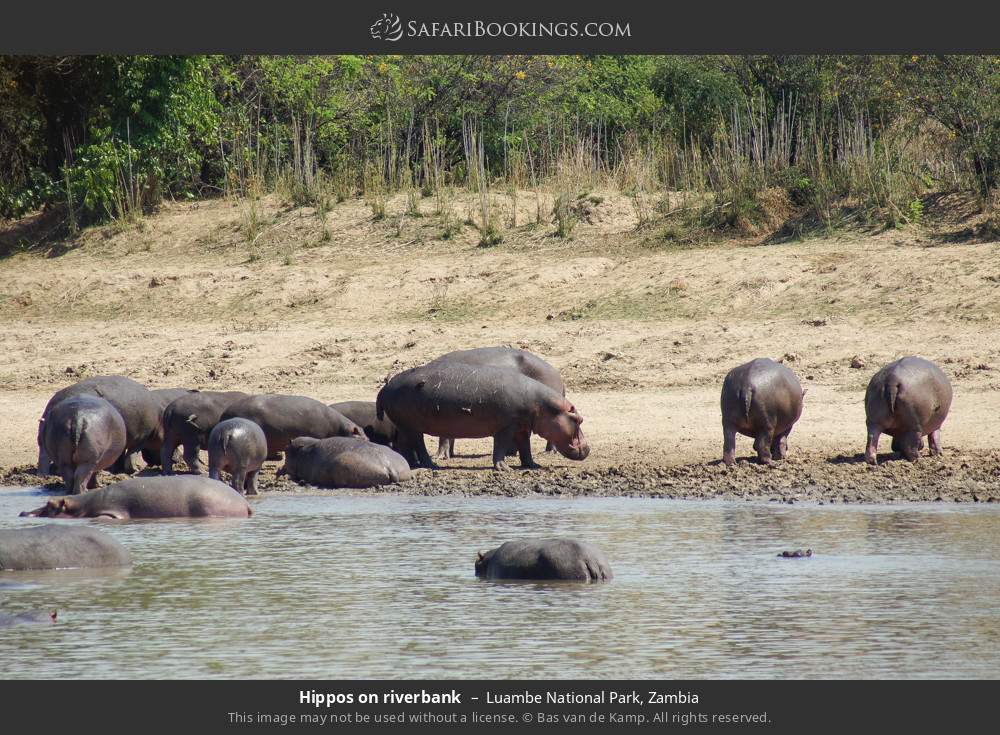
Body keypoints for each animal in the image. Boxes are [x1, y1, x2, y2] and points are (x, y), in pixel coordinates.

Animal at [376, 362, 589, 470]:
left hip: (404, 424)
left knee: (405, 444)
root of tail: (385, 387)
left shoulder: (521, 427)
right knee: (418, 444)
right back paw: (431, 465)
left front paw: (532, 465)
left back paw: (412, 464)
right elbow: (500, 446)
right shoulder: (506, 427)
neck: (542, 406)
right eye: (578, 420)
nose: (587, 449)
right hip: (412, 425)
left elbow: (525, 447)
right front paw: (503, 469)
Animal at [427, 347, 566, 459]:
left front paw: (439, 457)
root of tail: (556, 372)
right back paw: (511, 453)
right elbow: (451, 436)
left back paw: (548, 452)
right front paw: (450, 455)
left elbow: (444, 436)